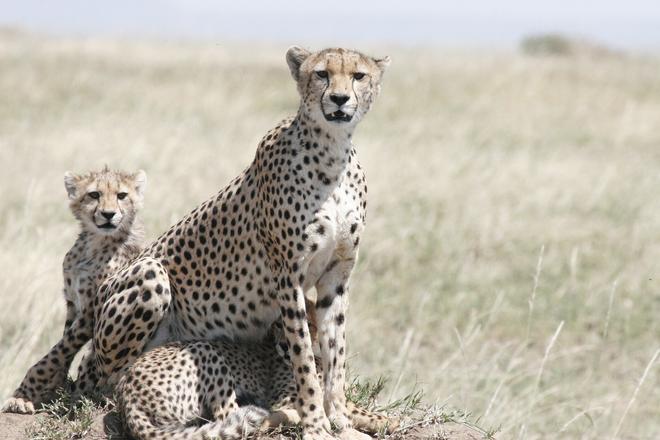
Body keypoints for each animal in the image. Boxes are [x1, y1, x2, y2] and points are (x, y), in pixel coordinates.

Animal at [1, 167, 147, 414]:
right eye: (94, 194)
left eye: (122, 196)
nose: (108, 214)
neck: (94, 243)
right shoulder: (73, 303)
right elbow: (62, 347)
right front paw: (54, 387)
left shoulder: (92, 310)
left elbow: (56, 352)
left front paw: (22, 395)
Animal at [85, 46, 390, 438]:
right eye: (322, 74)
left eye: (358, 76)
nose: (339, 99)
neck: (332, 152)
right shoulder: (288, 276)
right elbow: (304, 357)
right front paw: (315, 424)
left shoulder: (337, 274)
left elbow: (334, 352)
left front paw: (339, 418)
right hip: (150, 276)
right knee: (110, 381)